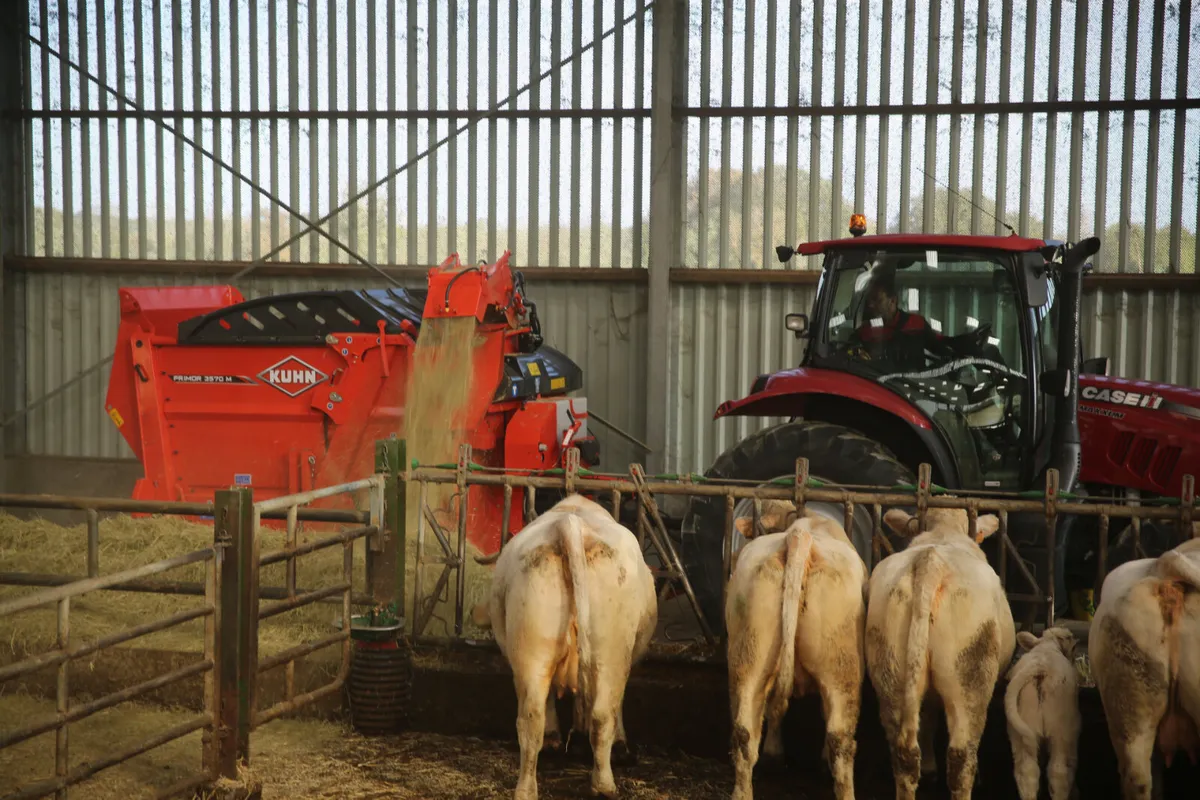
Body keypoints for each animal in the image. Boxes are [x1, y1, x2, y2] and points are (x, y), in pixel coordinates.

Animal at [472, 494, 657, 800]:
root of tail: (569, 524)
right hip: (610, 653)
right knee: (602, 714)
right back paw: (604, 784)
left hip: (533, 650)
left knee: (531, 718)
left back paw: (526, 788)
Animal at [720, 503, 864, 796]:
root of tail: (799, 537)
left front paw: (774, 754)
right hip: (843, 668)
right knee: (840, 739)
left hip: (749, 657)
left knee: (744, 731)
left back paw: (742, 792)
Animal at [868, 506, 1017, 800]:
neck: (943, 532)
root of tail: (931, 560)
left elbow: (927, 717)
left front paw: (928, 768)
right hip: (971, 675)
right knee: (961, 754)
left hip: (890, 670)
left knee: (903, 753)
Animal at [1003, 623, 1080, 800]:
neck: (1048, 645)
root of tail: (1039, 667)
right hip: (1060, 732)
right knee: (1058, 772)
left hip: (1020, 730)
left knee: (1026, 772)